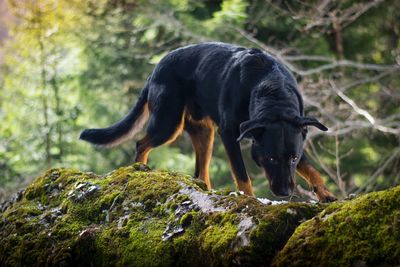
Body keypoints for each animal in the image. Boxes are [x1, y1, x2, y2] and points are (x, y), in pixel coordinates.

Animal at [81, 42, 338, 203]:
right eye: (271, 158)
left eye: (293, 158)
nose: (284, 193)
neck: (271, 89)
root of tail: (156, 69)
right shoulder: (230, 134)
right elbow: (242, 174)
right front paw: (249, 199)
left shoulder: (295, 135)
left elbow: (311, 170)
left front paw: (325, 194)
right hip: (168, 123)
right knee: (141, 144)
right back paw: (140, 169)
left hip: (204, 133)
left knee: (200, 172)